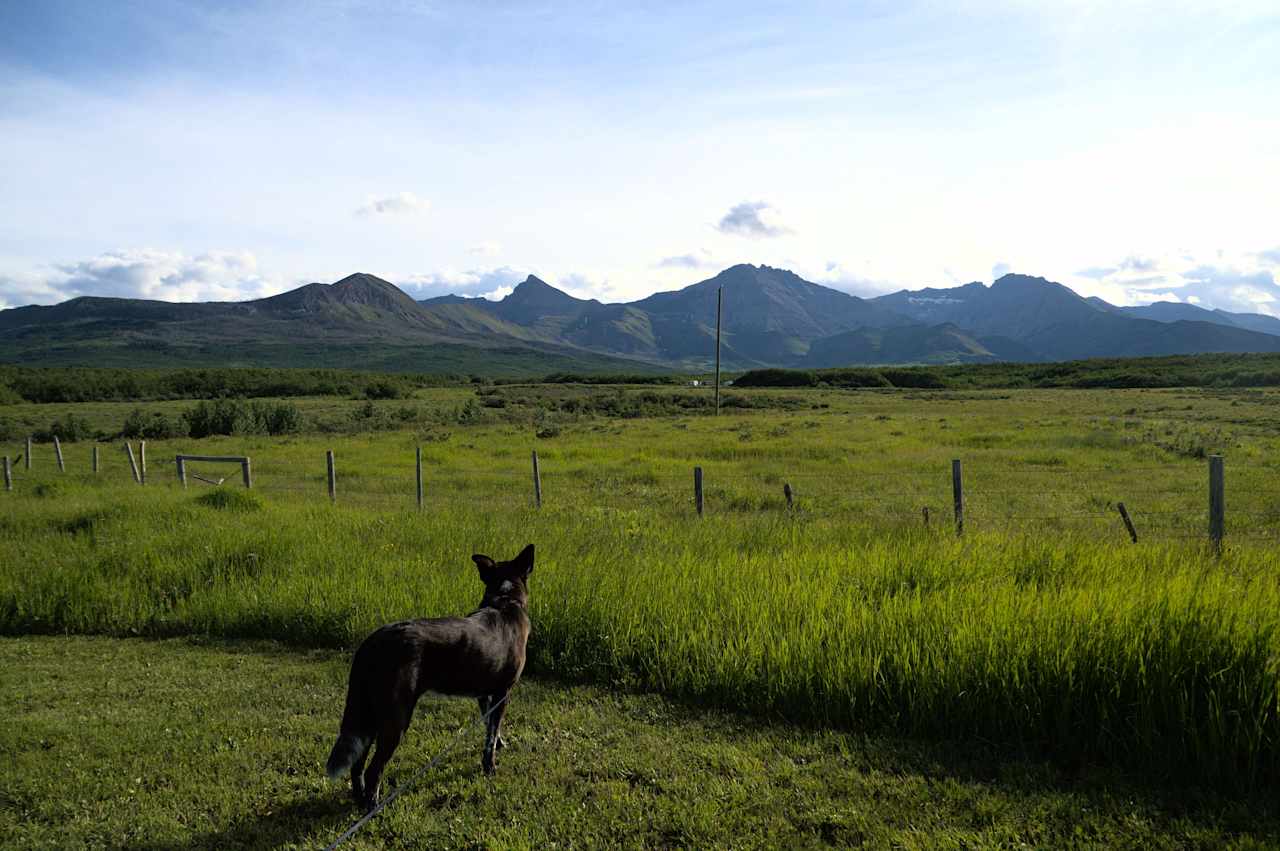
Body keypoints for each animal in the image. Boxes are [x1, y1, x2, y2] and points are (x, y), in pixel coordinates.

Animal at [330, 540, 535, 808]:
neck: (505, 600)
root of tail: (371, 643)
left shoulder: (484, 696)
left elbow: (491, 726)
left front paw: (500, 744)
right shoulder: (503, 693)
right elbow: (490, 737)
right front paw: (490, 767)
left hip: (369, 715)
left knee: (357, 764)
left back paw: (360, 799)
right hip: (396, 718)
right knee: (374, 768)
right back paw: (373, 805)